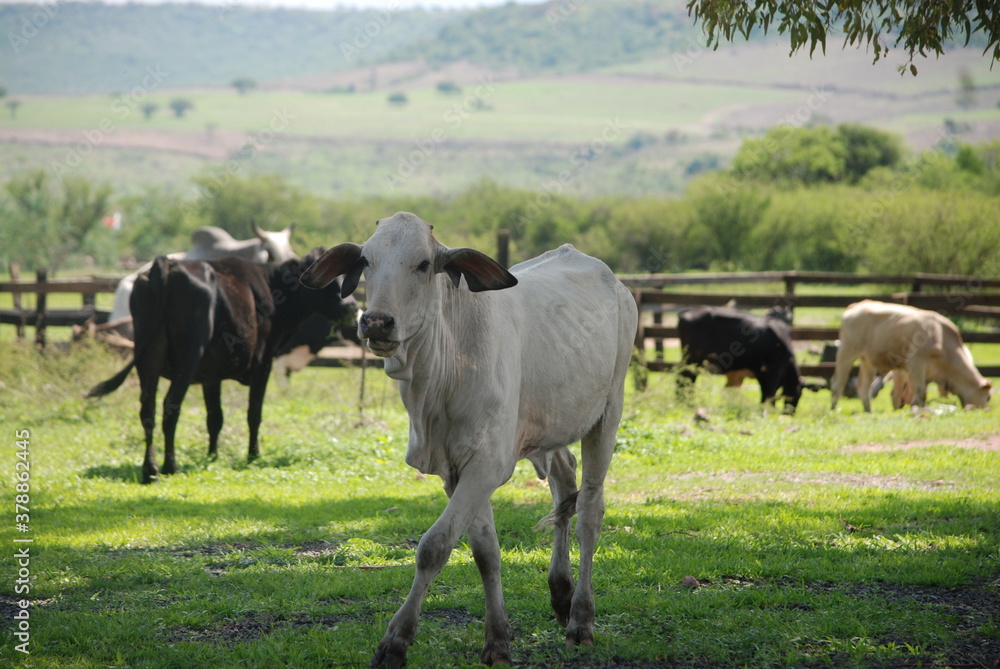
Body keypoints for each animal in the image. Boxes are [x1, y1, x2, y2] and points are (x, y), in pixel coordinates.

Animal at [88, 248, 356, 482]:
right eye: (328, 277)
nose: (353, 306)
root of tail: (166, 264)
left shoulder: (211, 375)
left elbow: (215, 417)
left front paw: (212, 457)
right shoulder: (263, 365)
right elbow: (254, 414)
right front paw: (253, 456)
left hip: (148, 358)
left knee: (148, 410)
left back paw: (150, 469)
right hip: (187, 359)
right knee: (170, 408)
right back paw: (169, 466)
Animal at [300, 213, 636, 668]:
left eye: (424, 264)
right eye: (366, 260)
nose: (375, 321)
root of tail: (614, 281)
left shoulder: (487, 464)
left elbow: (434, 546)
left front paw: (396, 640)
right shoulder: (455, 469)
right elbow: (485, 552)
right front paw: (498, 639)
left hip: (607, 415)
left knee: (589, 511)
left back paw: (581, 619)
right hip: (551, 429)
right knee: (564, 489)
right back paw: (561, 593)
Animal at [828, 300, 992, 410]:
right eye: (988, 397)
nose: (986, 410)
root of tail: (856, 305)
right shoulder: (915, 363)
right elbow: (919, 392)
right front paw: (917, 410)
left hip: (867, 360)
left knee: (863, 387)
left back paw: (869, 412)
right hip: (847, 352)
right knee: (838, 384)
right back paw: (833, 410)